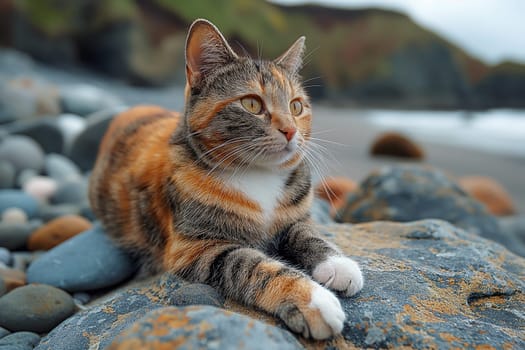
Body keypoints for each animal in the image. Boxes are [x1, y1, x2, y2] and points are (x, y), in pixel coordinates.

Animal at [89, 18, 360, 340]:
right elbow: (254, 267)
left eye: (296, 106)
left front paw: (339, 265)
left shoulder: (296, 216)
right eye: (252, 104)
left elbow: (307, 233)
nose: (291, 130)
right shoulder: (196, 248)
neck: (257, 173)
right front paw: (312, 299)